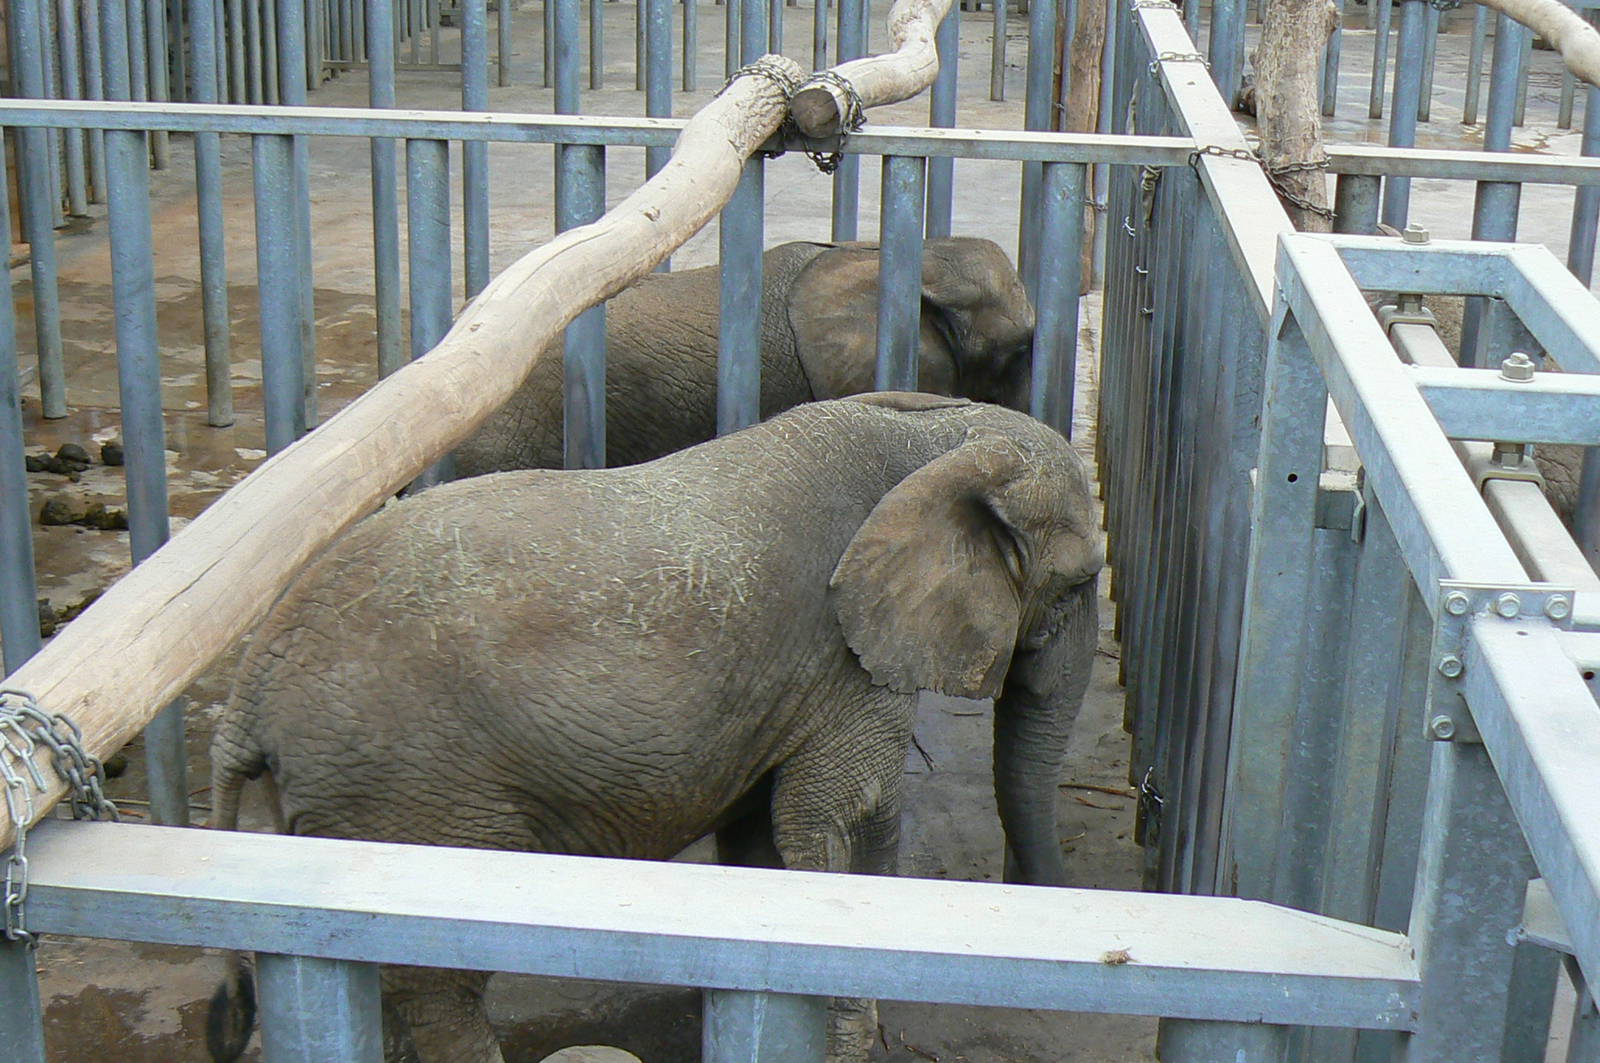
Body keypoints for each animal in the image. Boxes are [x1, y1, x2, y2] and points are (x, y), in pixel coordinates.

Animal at [207, 393, 1102, 1063]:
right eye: (1075, 583)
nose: (1042, 892)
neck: (937, 435)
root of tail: (250, 687)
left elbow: (769, 832)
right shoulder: (850, 661)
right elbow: (846, 819)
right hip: (410, 795)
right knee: (435, 985)